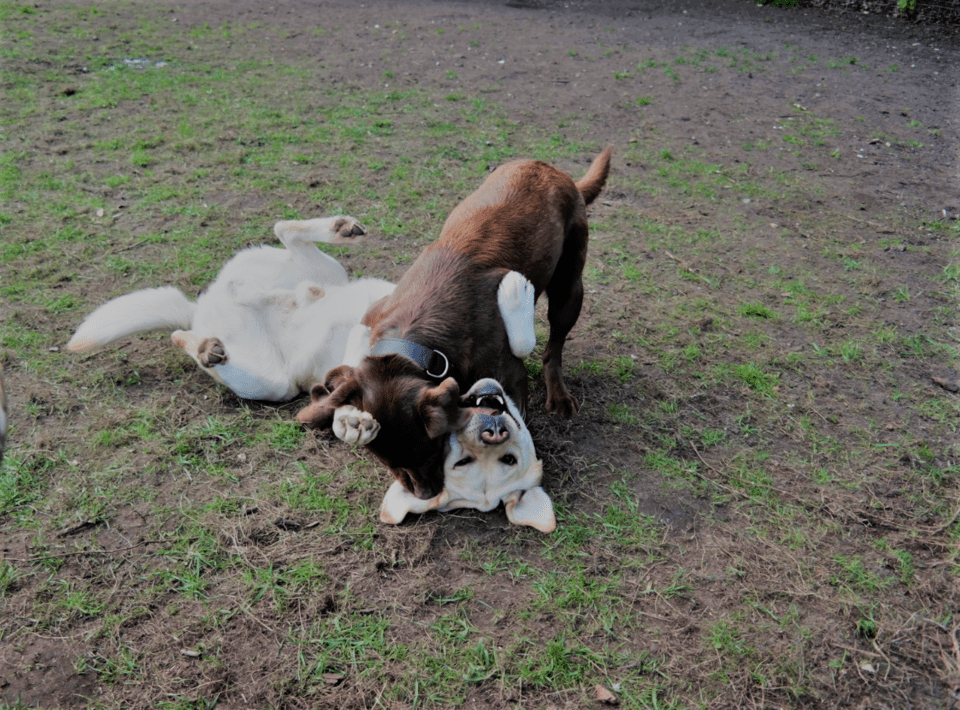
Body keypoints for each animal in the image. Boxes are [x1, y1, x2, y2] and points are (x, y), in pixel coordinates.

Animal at [296, 146, 612, 500]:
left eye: (431, 449)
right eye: (385, 461)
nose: (424, 496)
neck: (415, 339)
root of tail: (556, 172)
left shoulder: (510, 379)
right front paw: (343, 417)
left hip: (568, 287)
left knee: (553, 346)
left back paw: (557, 393)